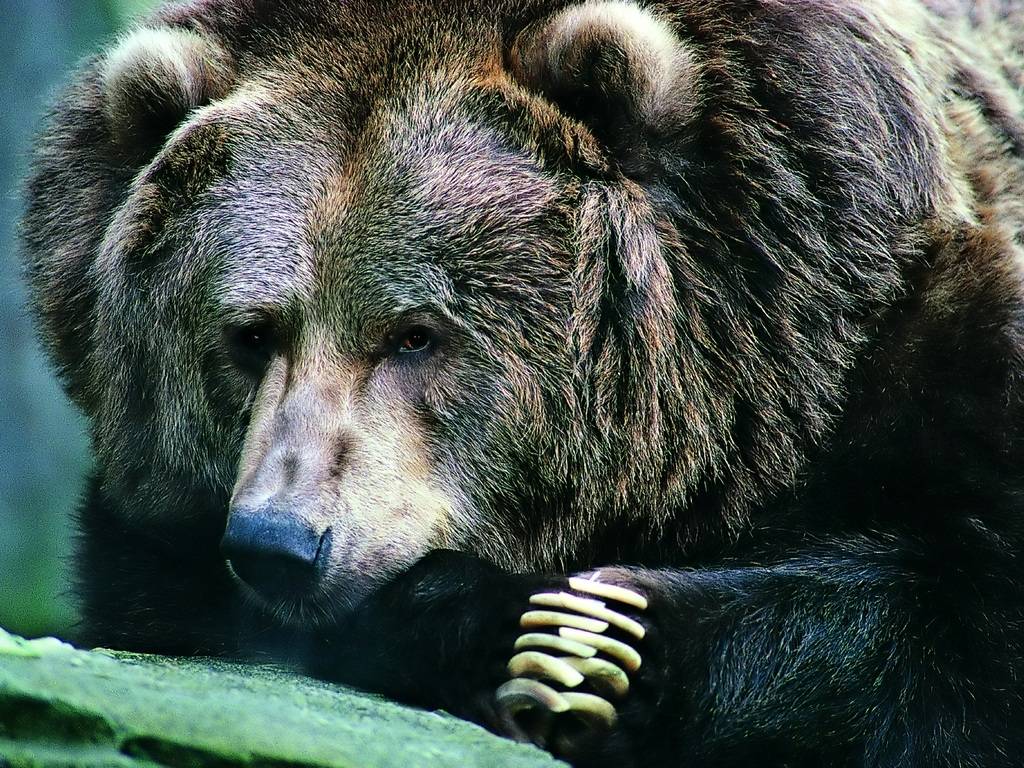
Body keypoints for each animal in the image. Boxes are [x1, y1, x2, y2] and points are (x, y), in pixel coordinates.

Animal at [20, 0, 1024, 765]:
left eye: (415, 333)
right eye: (252, 332)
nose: (280, 539)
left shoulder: (918, 334)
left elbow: (960, 618)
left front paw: (609, 639)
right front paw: (527, 634)